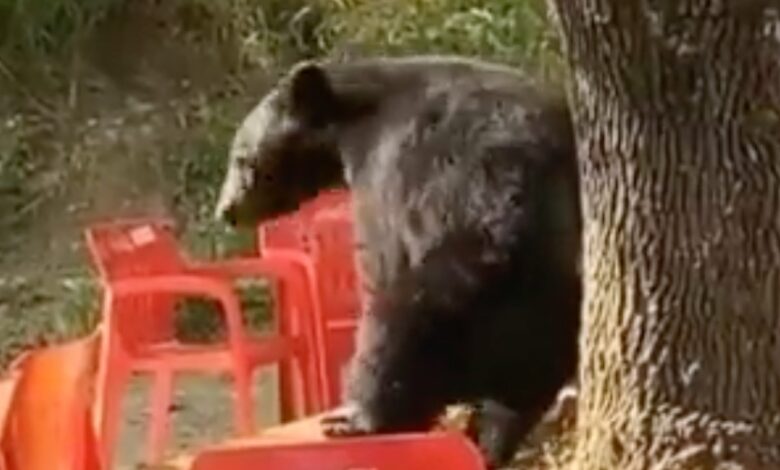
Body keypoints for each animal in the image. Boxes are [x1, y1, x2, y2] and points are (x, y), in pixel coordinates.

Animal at [214, 55, 581, 469]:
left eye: (241, 158)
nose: (225, 210)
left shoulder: (391, 172)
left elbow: (382, 258)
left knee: (399, 323)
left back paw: (359, 417)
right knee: (516, 399)